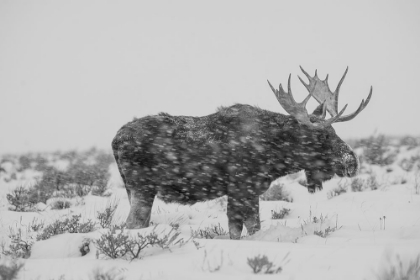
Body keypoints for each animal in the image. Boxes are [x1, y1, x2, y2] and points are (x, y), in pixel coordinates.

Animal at [111, 67, 370, 238]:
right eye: (322, 136)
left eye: (334, 131)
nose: (351, 161)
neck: (276, 157)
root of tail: (115, 140)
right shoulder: (239, 188)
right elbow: (238, 230)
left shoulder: (251, 191)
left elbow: (253, 227)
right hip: (143, 188)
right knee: (132, 223)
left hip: (134, 190)